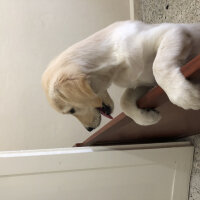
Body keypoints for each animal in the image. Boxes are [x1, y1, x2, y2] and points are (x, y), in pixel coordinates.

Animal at [41, 20, 200, 131]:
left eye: (71, 111)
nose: (89, 129)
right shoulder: (144, 82)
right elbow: (124, 101)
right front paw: (146, 118)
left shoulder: (173, 31)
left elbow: (158, 66)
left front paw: (183, 94)